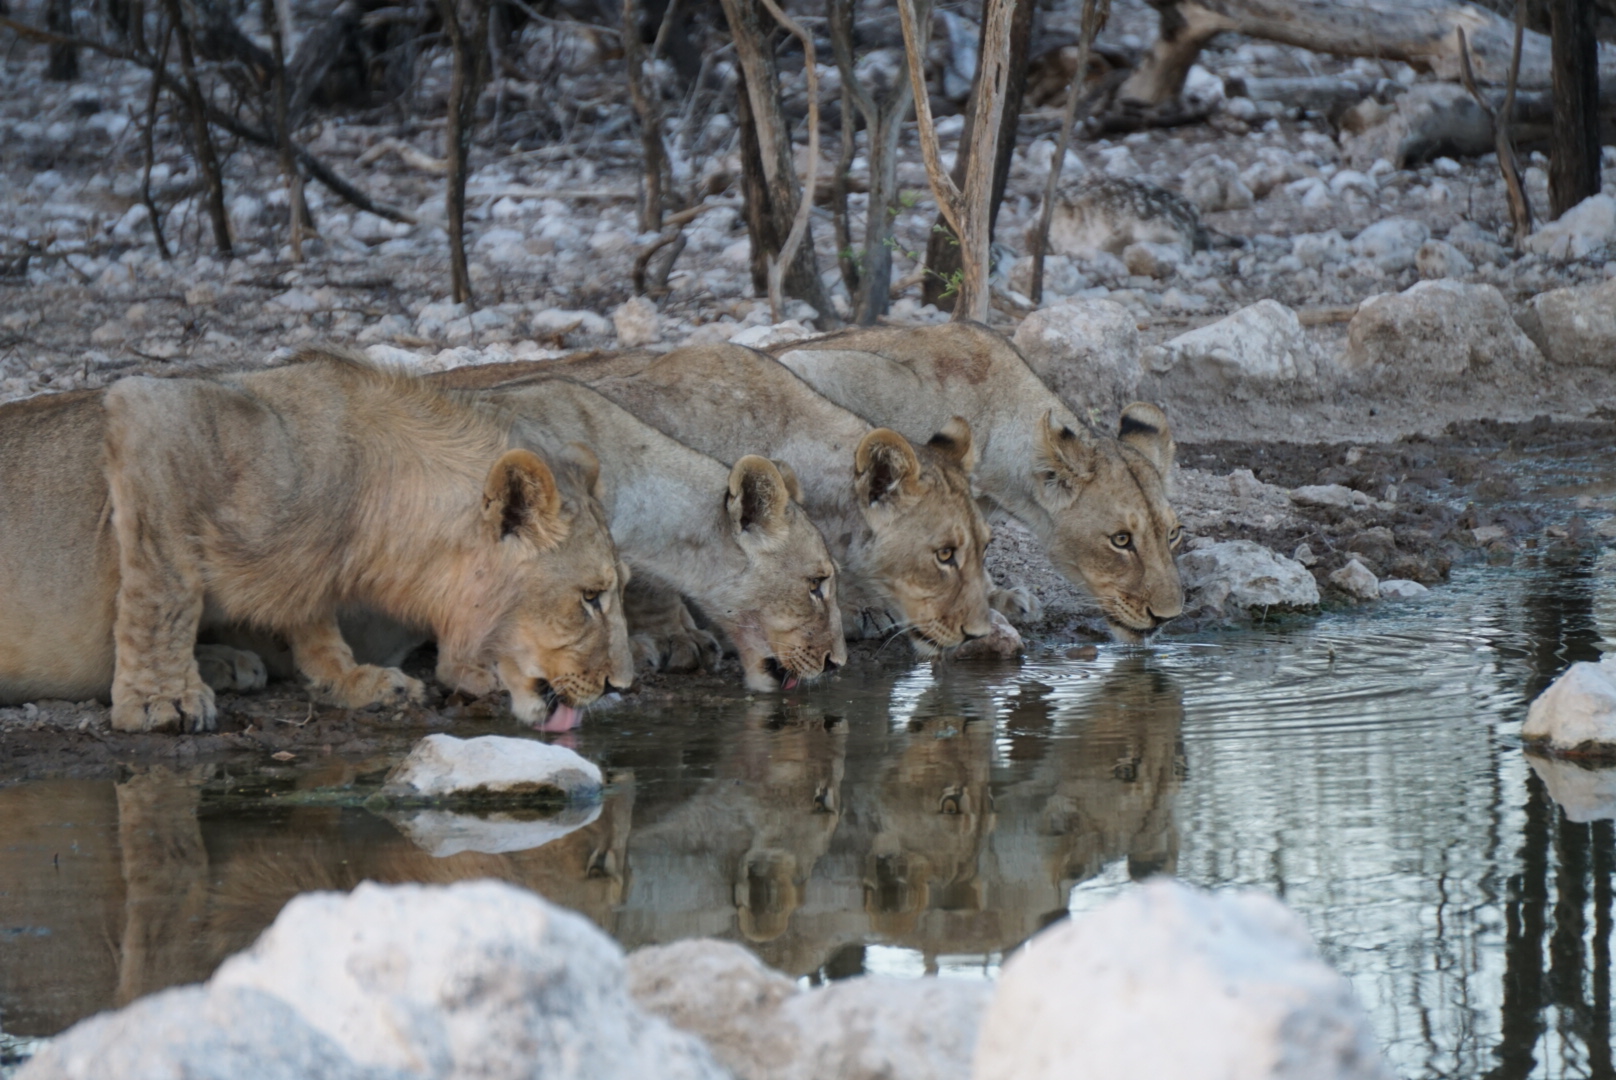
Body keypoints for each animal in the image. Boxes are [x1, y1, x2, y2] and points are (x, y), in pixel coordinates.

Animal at [0, 350, 630, 730]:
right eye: (590, 597)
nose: (620, 685)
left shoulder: (310, 565)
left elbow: (310, 614)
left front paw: (352, 681)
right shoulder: (153, 414)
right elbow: (165, 589)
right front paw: (161, 701)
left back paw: (230, 662)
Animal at [769, 320, 1189, 640]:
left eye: (1173, 534)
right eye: (1121, 540)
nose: (1167, 617)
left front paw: (995, 599)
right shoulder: (812, 373)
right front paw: (863, 609)